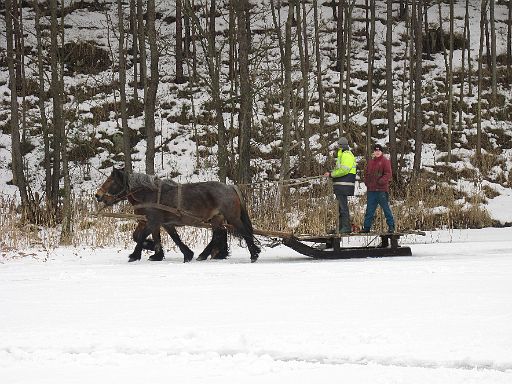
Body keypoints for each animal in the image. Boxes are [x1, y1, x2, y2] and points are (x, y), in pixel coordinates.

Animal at [95, 169, 260, 262]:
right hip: (216, 218)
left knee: (243, 232)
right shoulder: (161, 222)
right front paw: (161, 254)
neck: (150, 194)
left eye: (110, 181)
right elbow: (170, 238)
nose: (97, 195)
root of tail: (230, 186)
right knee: (219, 234)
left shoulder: (153, 221)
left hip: (232, 217)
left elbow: (141, 237)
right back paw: (206, 254)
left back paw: (253, 254)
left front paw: (135, 255)